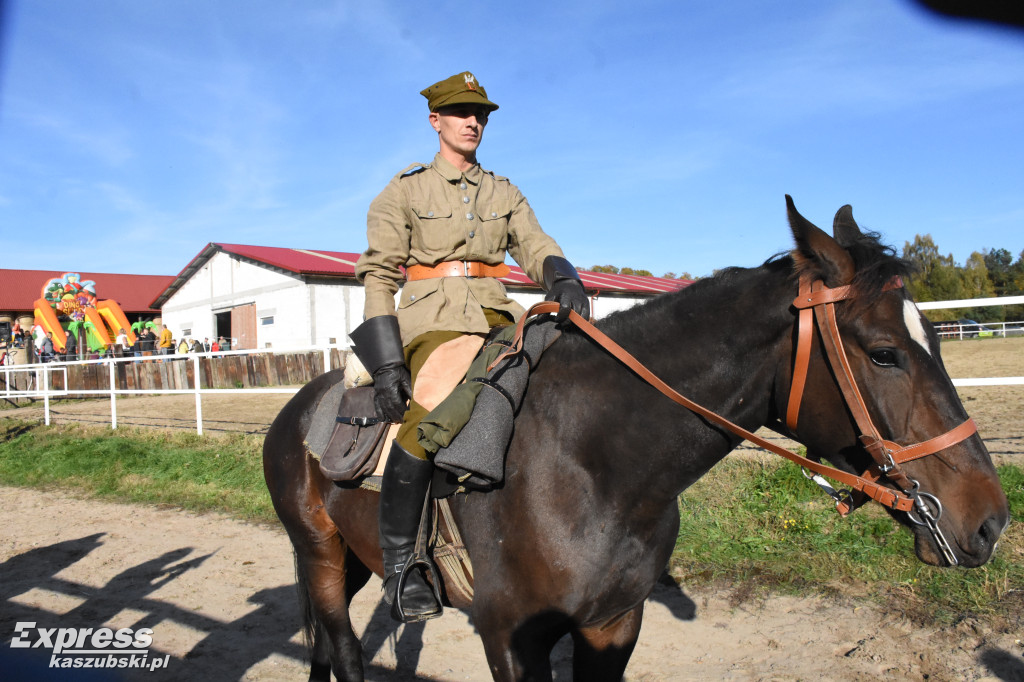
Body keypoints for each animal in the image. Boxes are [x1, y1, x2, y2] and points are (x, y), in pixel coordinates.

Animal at [262, 195, 1007, 675]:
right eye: (884, 353)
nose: (991, 521)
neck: (590, 465)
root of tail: (299, 406)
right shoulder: (510, 638)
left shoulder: (613, 625)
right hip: (321, 557)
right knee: (344, 651)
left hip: (352, 558)